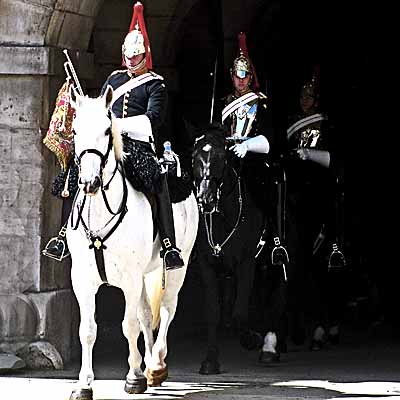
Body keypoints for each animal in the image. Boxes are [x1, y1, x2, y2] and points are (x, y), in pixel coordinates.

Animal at [66, 86, 199, 398]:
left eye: (107, 130)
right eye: (75, 130)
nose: (89, 183)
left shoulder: (129, 279)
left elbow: (129, 325)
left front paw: (133, 377)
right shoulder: (83, 280)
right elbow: (87, 330)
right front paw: (83, 384)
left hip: (177, 266)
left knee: (167, 308)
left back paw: (156, 364)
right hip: (142, 276)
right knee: (147, 314)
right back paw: (150, 367)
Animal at [191, 123, 288, 374]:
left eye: (222, 158)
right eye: (195, 157)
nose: (205, 198)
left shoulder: (247, 263)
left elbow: (239, 315)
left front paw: (252, 339)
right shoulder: (207, 264)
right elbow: (213, 313)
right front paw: (210, 361)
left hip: (273, 263)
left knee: (275, 297)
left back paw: (269, 347)